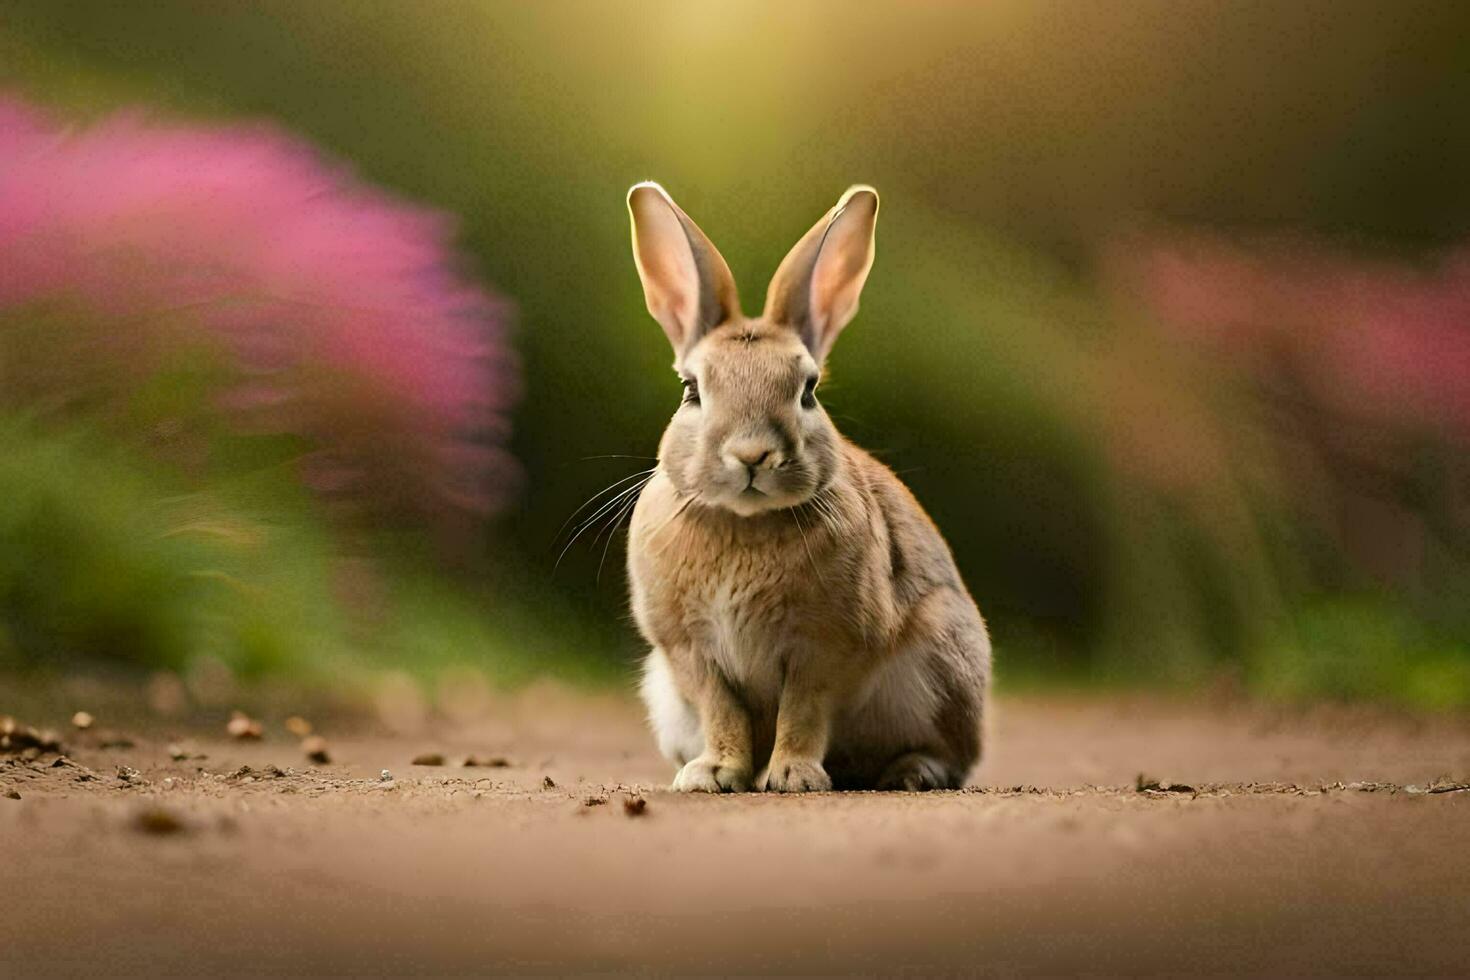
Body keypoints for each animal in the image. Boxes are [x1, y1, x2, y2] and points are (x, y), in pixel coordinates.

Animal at [620, 183, 987, 793]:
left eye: (808, 389)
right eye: (691, 390)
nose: (751, 454)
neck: (743, 524)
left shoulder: (825, 647)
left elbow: (803, 710)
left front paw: (792, 776)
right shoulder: (691, 652)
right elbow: (723, 711)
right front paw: (714, 774)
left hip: (944, 658)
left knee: (948, 756)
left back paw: (913, 772)